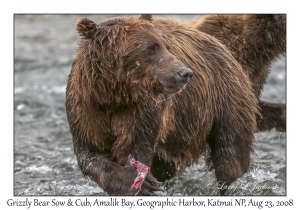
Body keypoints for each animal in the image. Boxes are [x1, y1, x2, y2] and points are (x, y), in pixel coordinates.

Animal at [66, 14, 258, 195]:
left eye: (167, 46)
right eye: (151, 48)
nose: (185, 73)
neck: (115, 95)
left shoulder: (144, 111)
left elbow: (135, 147)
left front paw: (143, 183)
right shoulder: (86, 107)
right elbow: (89, 154)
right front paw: (139, 184)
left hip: (224, 99)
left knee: (230, 154)